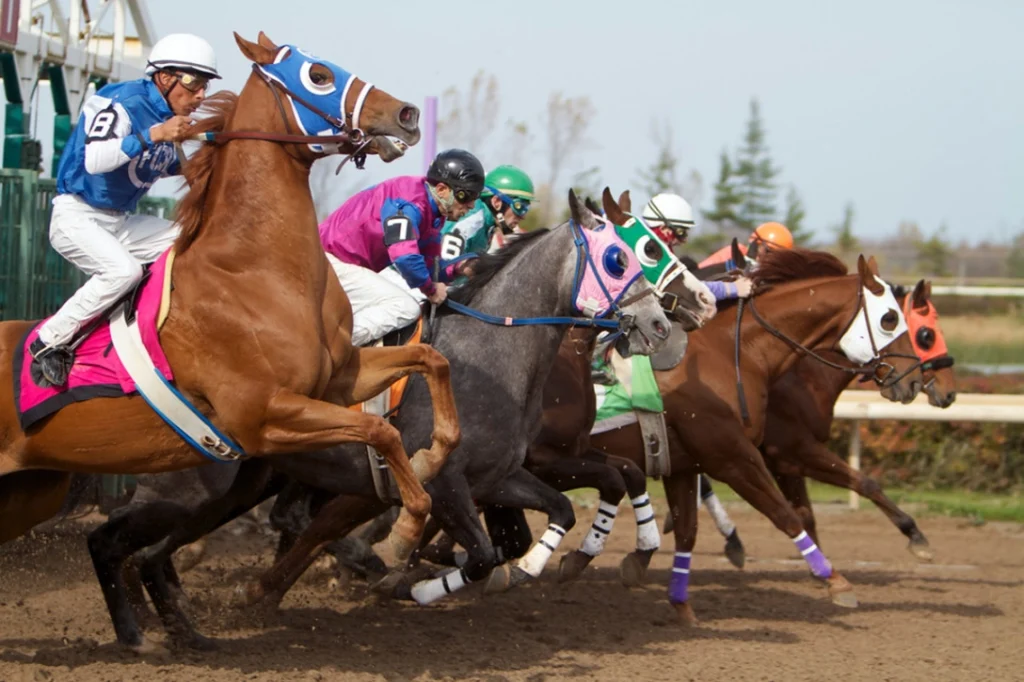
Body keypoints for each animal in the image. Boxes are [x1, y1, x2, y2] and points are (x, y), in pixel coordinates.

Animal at [0, 30, 460, 557]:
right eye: (318, 75)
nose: (407, 113)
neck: (258, 270)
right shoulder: (261, 418)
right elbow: (378, 428)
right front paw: (403, 532)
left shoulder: (337, 381)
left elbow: (431, 360)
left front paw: (431, 457)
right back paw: (48, 356)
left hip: (30, 491)